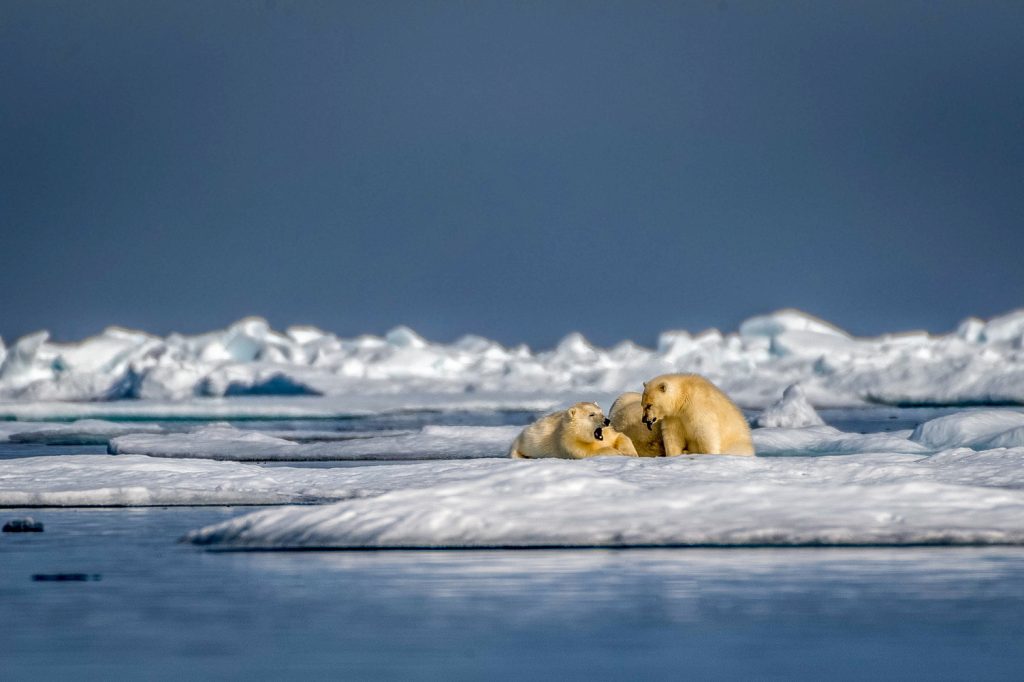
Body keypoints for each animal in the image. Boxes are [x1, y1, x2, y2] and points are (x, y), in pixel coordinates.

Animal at [509, 402, 639, 459]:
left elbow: (620, 436)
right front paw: (616, 452)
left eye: (601, 412)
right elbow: (588, 453)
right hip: (522, 443)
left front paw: (630, 452)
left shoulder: (608, 434)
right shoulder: (569, 443)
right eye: (591, 414)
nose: (607, 420)